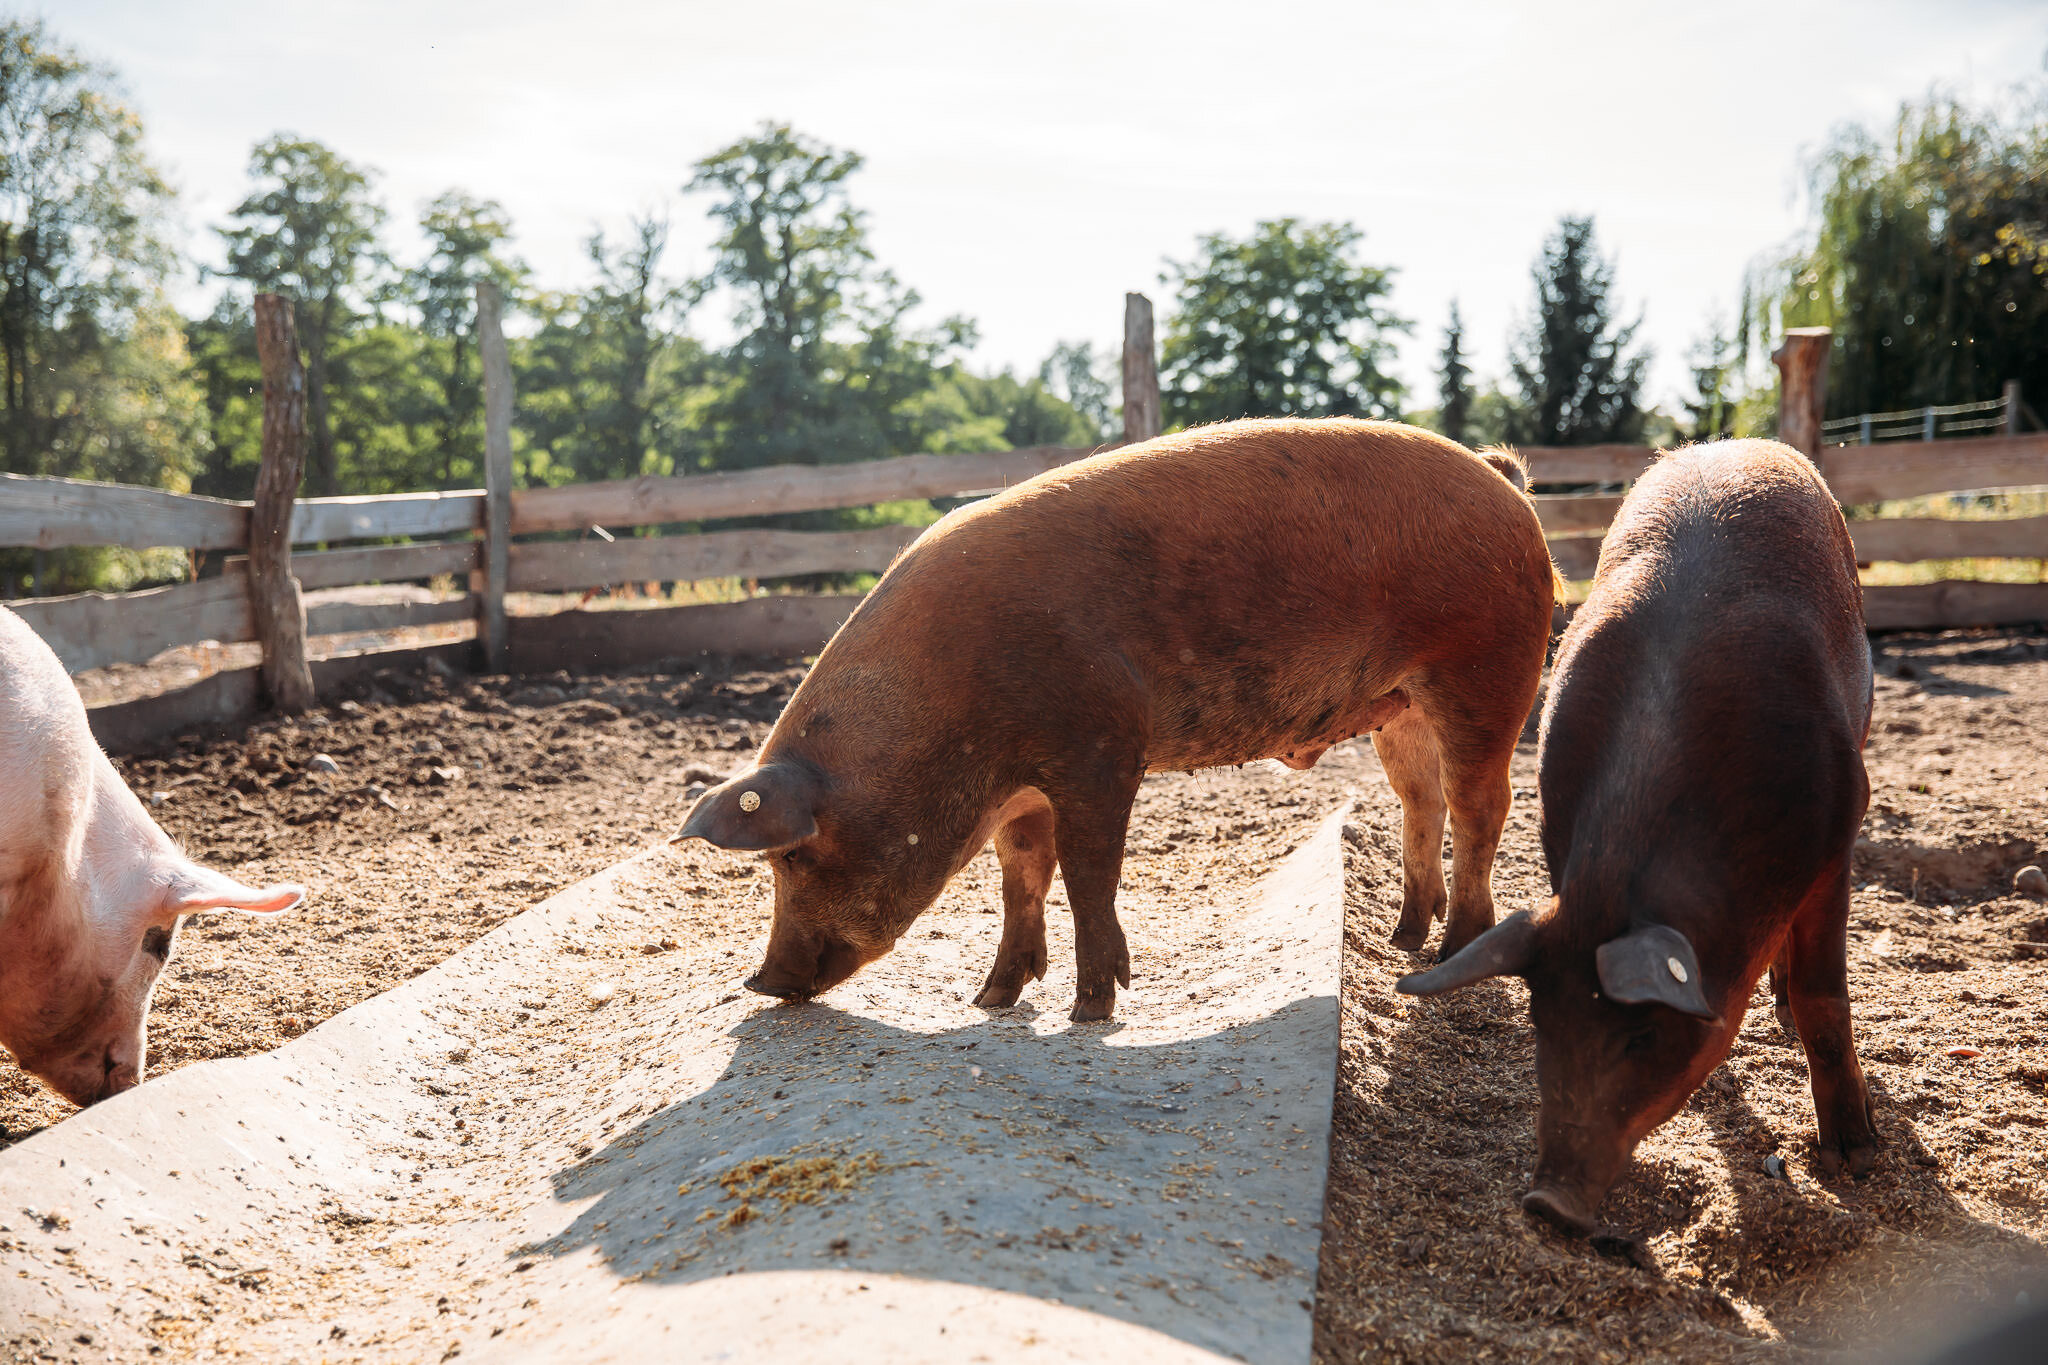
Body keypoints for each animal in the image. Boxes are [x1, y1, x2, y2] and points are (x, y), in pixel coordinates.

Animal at [679, 421, 1556, 1019]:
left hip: (1488, 669)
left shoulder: (1101, 746)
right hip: (1399, 708)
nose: (761, 980)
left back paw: (1450, 951)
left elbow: (1086, 874)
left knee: (1485, 806)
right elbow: (1021, 879)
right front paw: (989, 1000)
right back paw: (1405, 938)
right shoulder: (1023, 793)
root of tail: (1505, 482)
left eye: (794, 857)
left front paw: (1091, 1008)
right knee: (1421, 802)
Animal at [1400, 439, 1875, 1236]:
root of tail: (1732, 445)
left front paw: (1854, 1161)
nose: (1548, 1202)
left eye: (1642, 1035)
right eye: (1542, 1023)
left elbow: (1823, 998)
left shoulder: (1837, 832)